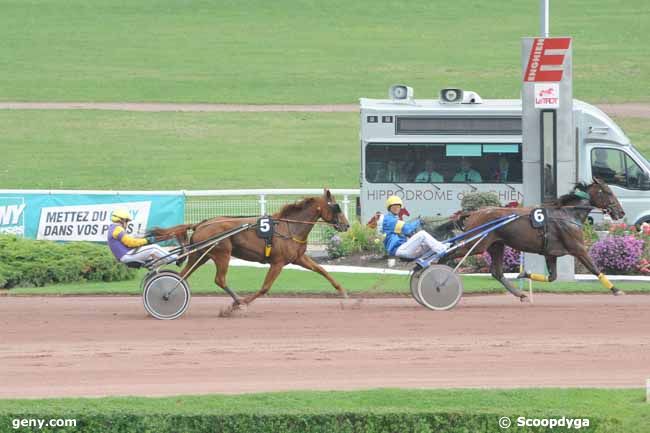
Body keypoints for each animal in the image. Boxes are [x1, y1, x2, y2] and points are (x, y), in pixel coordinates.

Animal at [149, 189, 350, 308]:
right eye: (336, 207)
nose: (347, 225)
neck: (289, 227)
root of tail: (202, 223)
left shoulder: (299, 258)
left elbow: (321, 269)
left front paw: (343, 291)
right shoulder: (277, 262)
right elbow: (265, 288)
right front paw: (244, 302)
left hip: (201, 254)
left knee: (183, 275)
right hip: (222, 253)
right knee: (219, 279)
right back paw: (237, 300)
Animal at [440, 178, 624, 300]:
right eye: (608, 192)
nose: (621, 212)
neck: (567, 214)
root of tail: (474, 213)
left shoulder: (551, 253)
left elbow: (552, 277)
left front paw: (524, 273)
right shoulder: (578, 248)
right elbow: (595, 269)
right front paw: (616, 290)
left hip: (496, 245)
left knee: (497, 272)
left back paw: (521, 294)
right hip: (476, 244)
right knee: (447, 254)